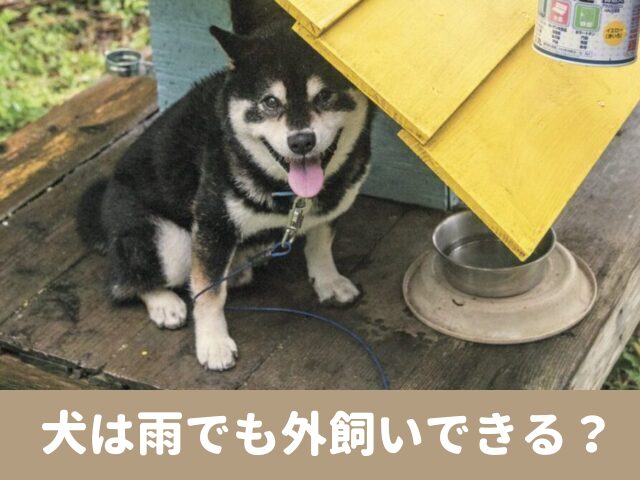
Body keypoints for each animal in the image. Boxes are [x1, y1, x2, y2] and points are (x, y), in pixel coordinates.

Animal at [77, 0, 372, 372]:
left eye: (324, 96)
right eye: (270, 102)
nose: (301, 141)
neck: (290, 196)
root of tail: (104, 208)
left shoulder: (332, 207)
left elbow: (320, 244)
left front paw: (328, 281)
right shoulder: (213, 223)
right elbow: (208, 294)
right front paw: (213, 343)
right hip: (168, 241)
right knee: (123, 281)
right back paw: (164, 302)